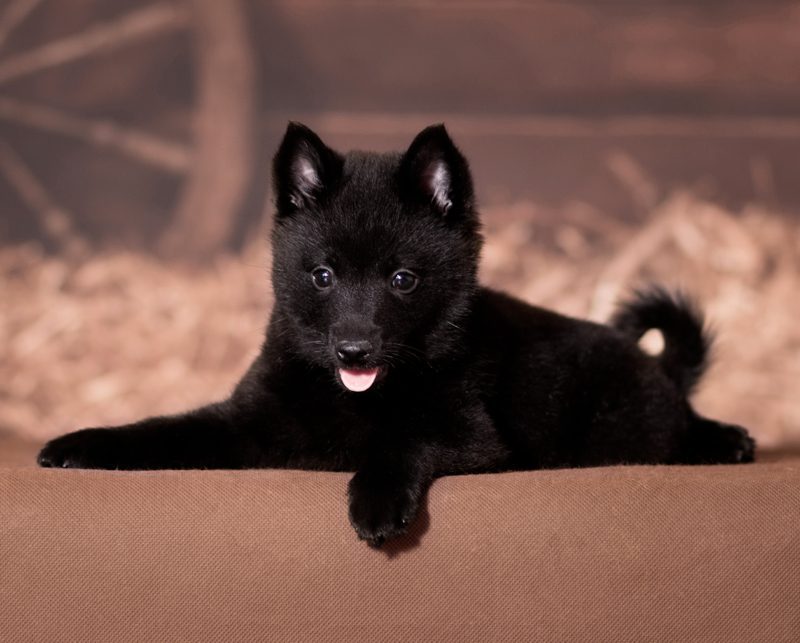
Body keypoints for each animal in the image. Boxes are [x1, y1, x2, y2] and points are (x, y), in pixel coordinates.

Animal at [39, 124, 756, 548]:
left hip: (626, 428)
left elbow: (403, 437)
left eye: (403, 279)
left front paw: (377, 499)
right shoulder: (246, 424)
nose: (354, 350)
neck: (349, 394)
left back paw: (731, 439)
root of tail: (655, 366)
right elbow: (164, 429)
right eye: (323, 274)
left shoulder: (469, 431)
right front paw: (83, 443)